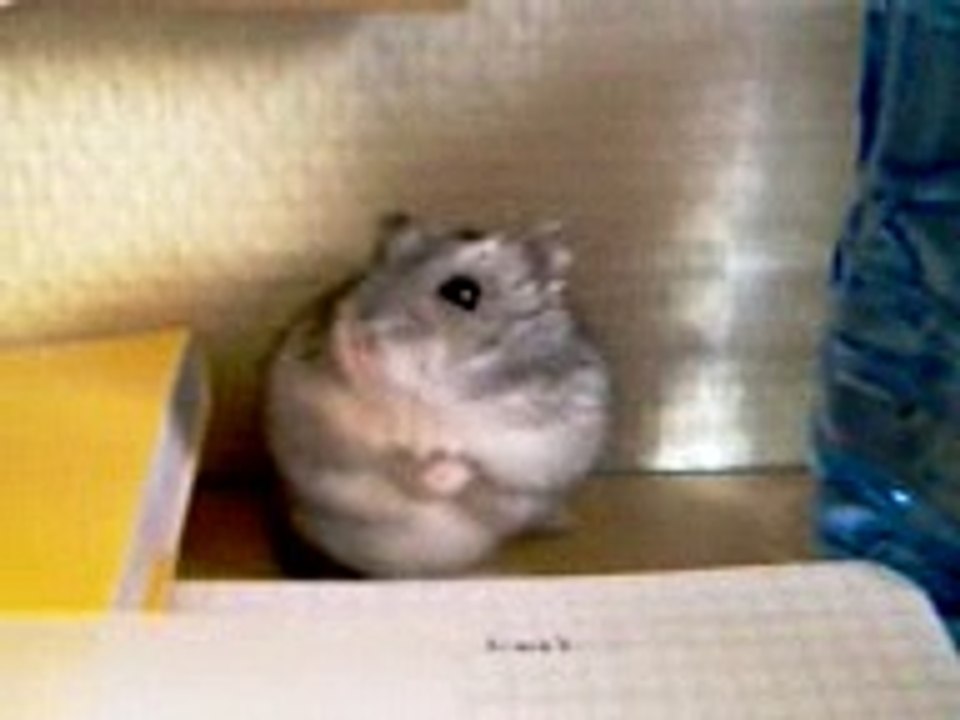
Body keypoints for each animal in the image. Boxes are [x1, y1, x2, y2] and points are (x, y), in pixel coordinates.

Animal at [264, 215, 611, 577]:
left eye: (463, 292)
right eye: (372, 268)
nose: (356, 341)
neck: (430, 402)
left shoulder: (537, 457)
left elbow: (481, 476)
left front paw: (444, 471)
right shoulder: (319, 424)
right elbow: (379, 461)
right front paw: (416, 464)